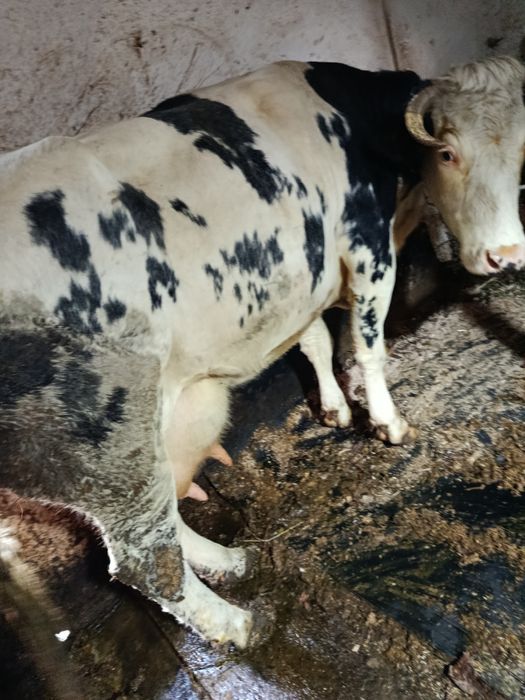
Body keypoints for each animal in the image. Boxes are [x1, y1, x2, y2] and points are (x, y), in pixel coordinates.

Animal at [1, 55, 524, 649]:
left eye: (521, 151)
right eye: (447, 153)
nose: (506, 256)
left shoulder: (305, 273)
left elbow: (316, 340)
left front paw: (334, 409)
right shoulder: (367, 247)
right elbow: (368, 345)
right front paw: (386, 422)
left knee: (165, 520)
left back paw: (229, 561)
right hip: (110, 445)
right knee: (145, 560)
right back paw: (238, 623)